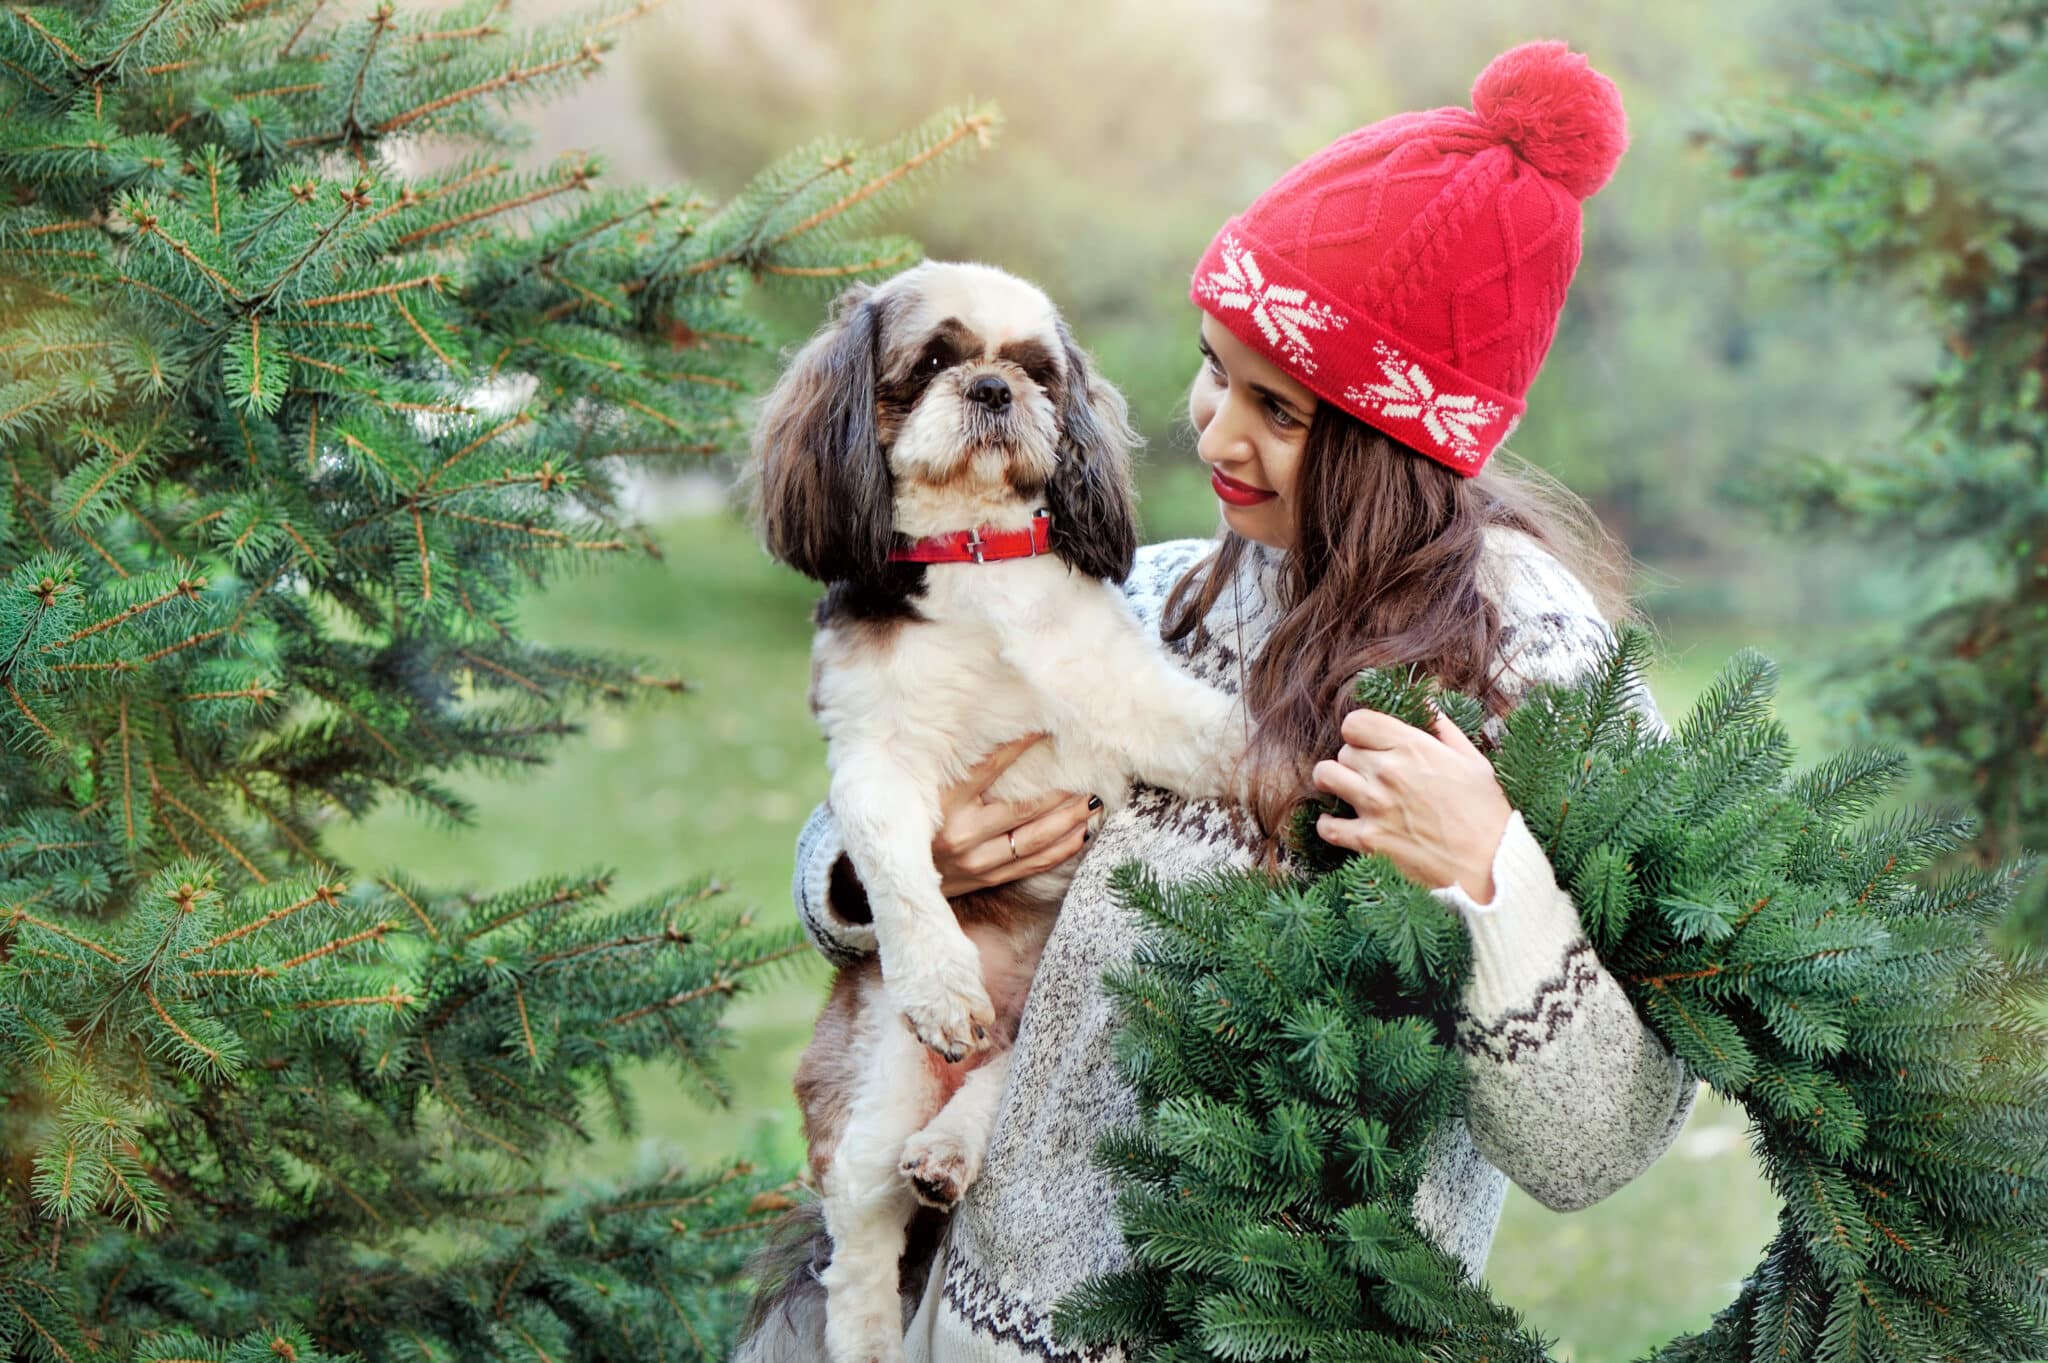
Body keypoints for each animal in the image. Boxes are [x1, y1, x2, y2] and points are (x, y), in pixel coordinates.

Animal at [737, 257, 1245, 1358]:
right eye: (931, 362)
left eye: (1039, 372)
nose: (991, 389)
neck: (974, 564)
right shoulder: (873, 759)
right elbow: (894, 864)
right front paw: (941, 979)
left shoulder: (1128, 701)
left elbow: (1232, 735)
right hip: (875, 1080)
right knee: (862, 1247)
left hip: (1033, 1031)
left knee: (989, 1093)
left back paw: (949, 1155)